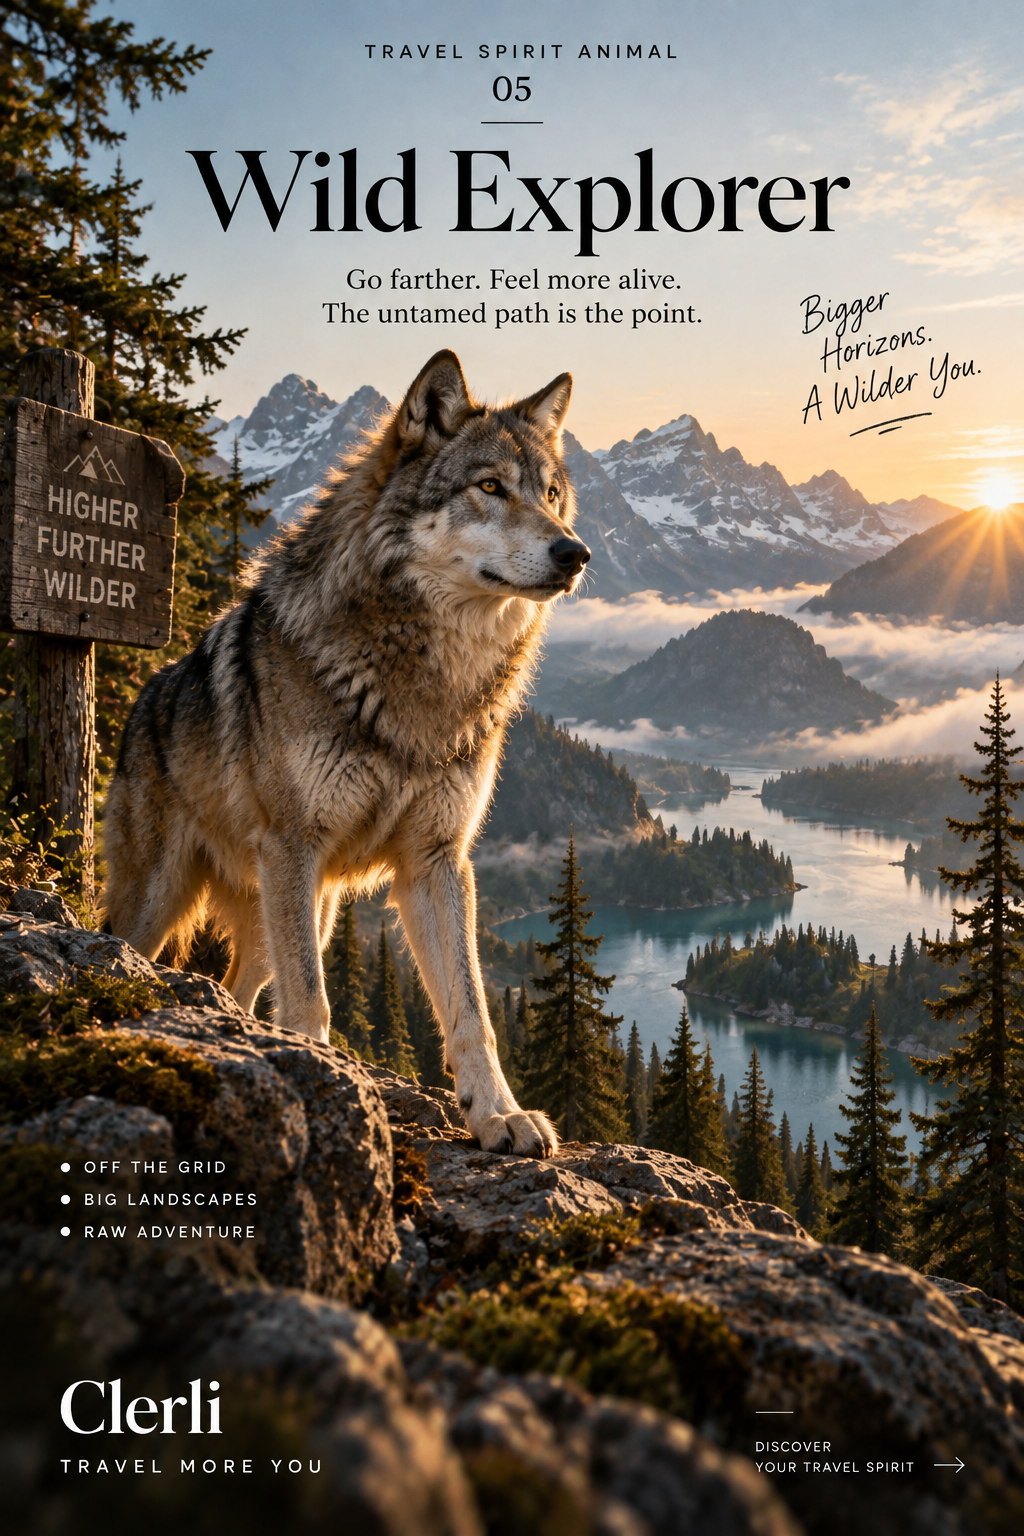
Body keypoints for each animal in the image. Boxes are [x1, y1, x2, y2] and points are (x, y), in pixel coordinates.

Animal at [103, 350, 590, 1157]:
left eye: (551, 495)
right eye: (489, 487)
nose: (575, 553)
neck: (423, 680)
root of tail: (147, 694)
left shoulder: (436, 862)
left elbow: (471, 1013)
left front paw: (498, 1115)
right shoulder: (296, 843)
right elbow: (312, 1000)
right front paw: (324, 1084)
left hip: (304, 906)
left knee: (240, 987)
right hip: (170, 901)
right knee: (139, 947)